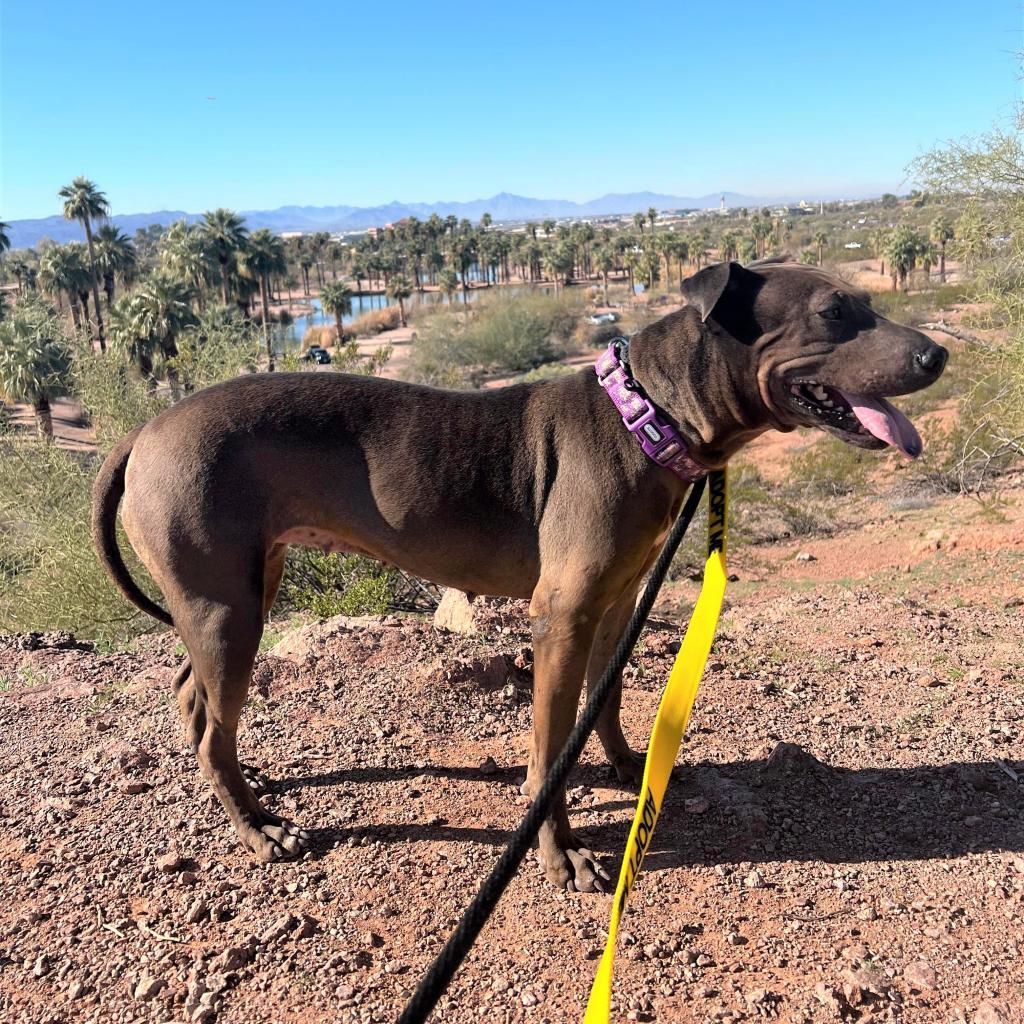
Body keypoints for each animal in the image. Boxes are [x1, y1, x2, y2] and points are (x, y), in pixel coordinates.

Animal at [92, 260, 946, 892]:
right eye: (835, 313)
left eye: (868, 303)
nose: (937, 354)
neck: (647, 417)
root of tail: (145, 429)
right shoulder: (561, 616)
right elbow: (548, 749)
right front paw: (561, 851)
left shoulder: (615, 603)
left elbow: (605, 702)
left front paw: (630, 767)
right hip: (227, 608)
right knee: (212, 726)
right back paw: (259, 827)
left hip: (241, 589)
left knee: (195, 699)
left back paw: (247, 783)